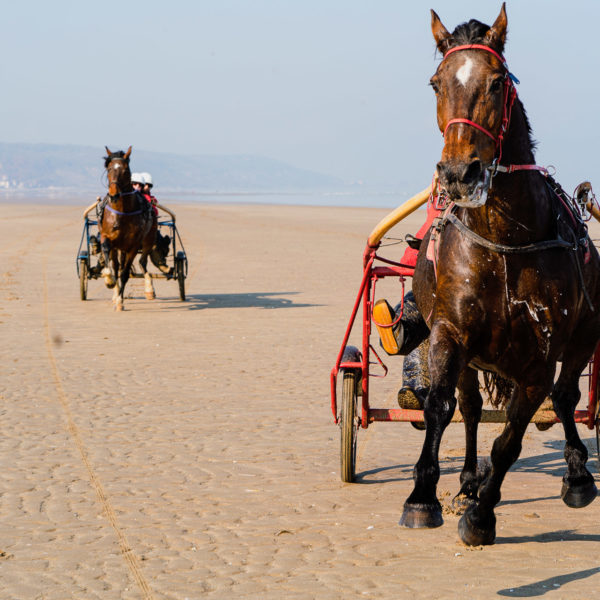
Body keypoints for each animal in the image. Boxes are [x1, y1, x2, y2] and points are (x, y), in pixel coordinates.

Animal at [98, 148, 156, 312]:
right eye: (109, 168)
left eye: (125, 170)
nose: (114, 194)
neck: (122, 213)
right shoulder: (107, 237)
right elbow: (108, 257)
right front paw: (109, 280)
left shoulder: (133, 246)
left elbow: (125, 274)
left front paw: (120, 300)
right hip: (118, 247)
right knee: (117, 266)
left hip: (148, 240)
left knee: (142, 262)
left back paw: (148, 289)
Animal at [404, 4, 600, 548]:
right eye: (436, 82)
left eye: (497, 82)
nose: (458, 174)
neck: (505, 243)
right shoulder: (449, 333)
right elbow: (441, 407)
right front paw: (424, 496)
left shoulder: (540, 359)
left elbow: (511, 439)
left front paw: (482, 516)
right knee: (470, 408)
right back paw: (469, 480)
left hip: (583, 337)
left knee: (567, 396)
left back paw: (577, 474)